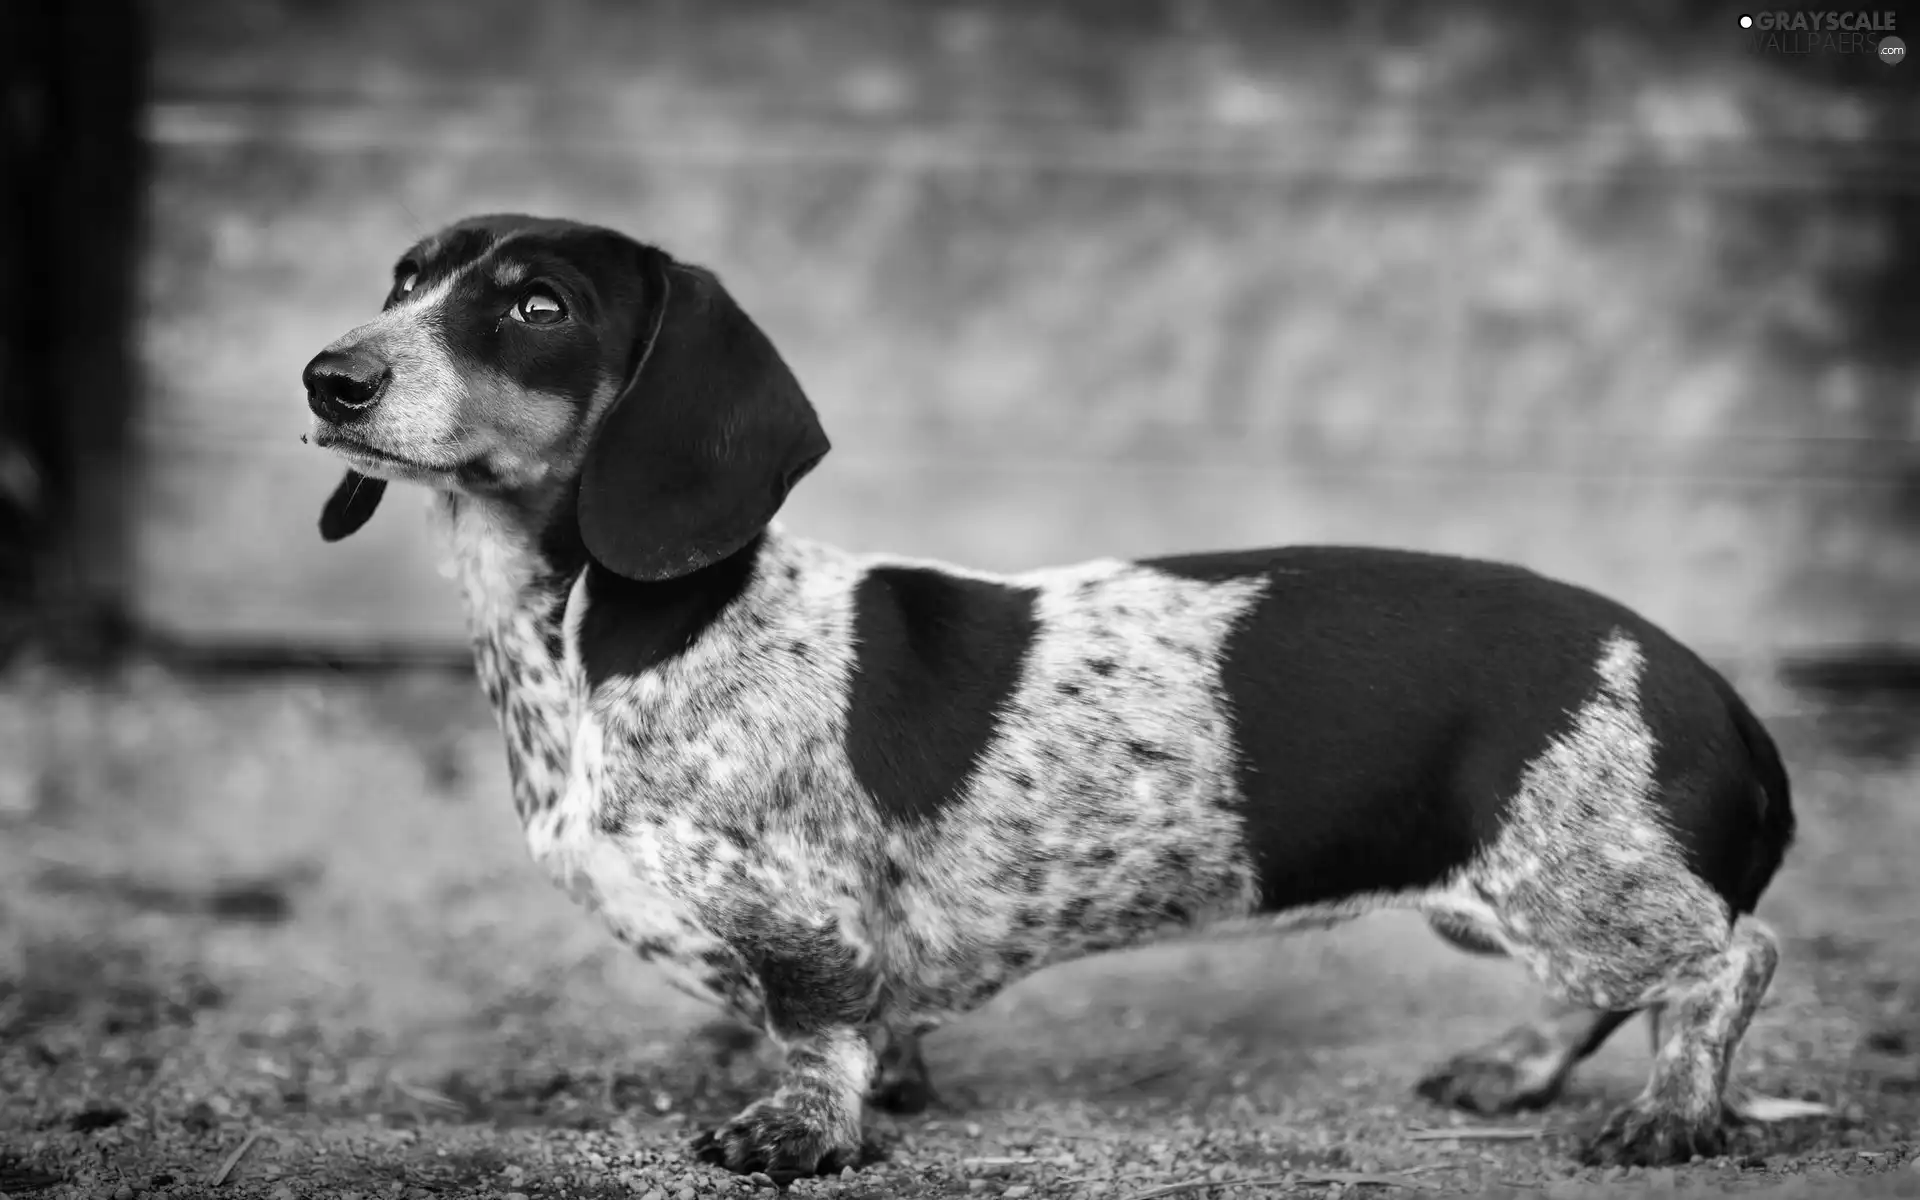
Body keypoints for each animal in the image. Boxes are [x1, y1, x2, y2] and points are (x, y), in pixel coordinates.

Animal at [303, 215, 1797, 1182]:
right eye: (404, 278)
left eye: (537, 304)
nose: (330, 376)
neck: (601, 633)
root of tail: (1706, 685)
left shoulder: (805, 922)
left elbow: (818, 1030)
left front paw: (799, 1131)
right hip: (1522, 902)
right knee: (1619, 987)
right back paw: (1516, 1067)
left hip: (1576, 889)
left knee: (1730, 959)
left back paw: (1672, 1116)